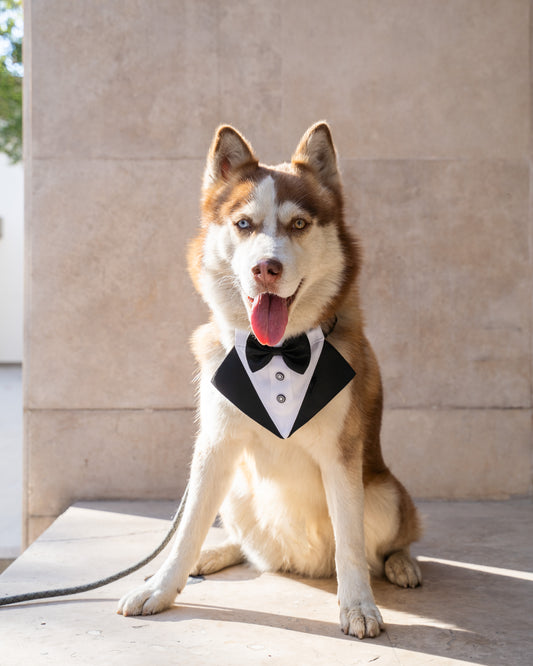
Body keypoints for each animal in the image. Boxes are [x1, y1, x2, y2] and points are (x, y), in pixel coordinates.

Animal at [118, 122, 422, 636]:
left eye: (298, 225)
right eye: (244, 224)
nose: (266, 268)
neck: (278, 350)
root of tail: (297, 563)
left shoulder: (342, 456)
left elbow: (351, 544)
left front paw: (358, 605)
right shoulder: (215, 446)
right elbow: (187, 528)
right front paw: (161, 587)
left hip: (385, 494)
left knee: (383, 547)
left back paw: (402, 564)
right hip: (237, 491)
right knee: (243, 545)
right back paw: (214, 554)